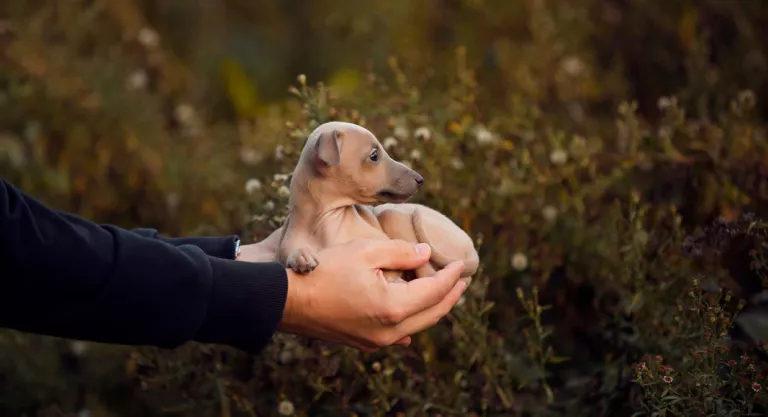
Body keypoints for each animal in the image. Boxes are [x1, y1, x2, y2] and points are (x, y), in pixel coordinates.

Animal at [276, 122, 480, 282]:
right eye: (374, 155)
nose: (420, 179)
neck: (326, 221)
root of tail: (470, 246)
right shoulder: (288, 244)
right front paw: (301, 257)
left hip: (392, 215)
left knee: (428, 272)